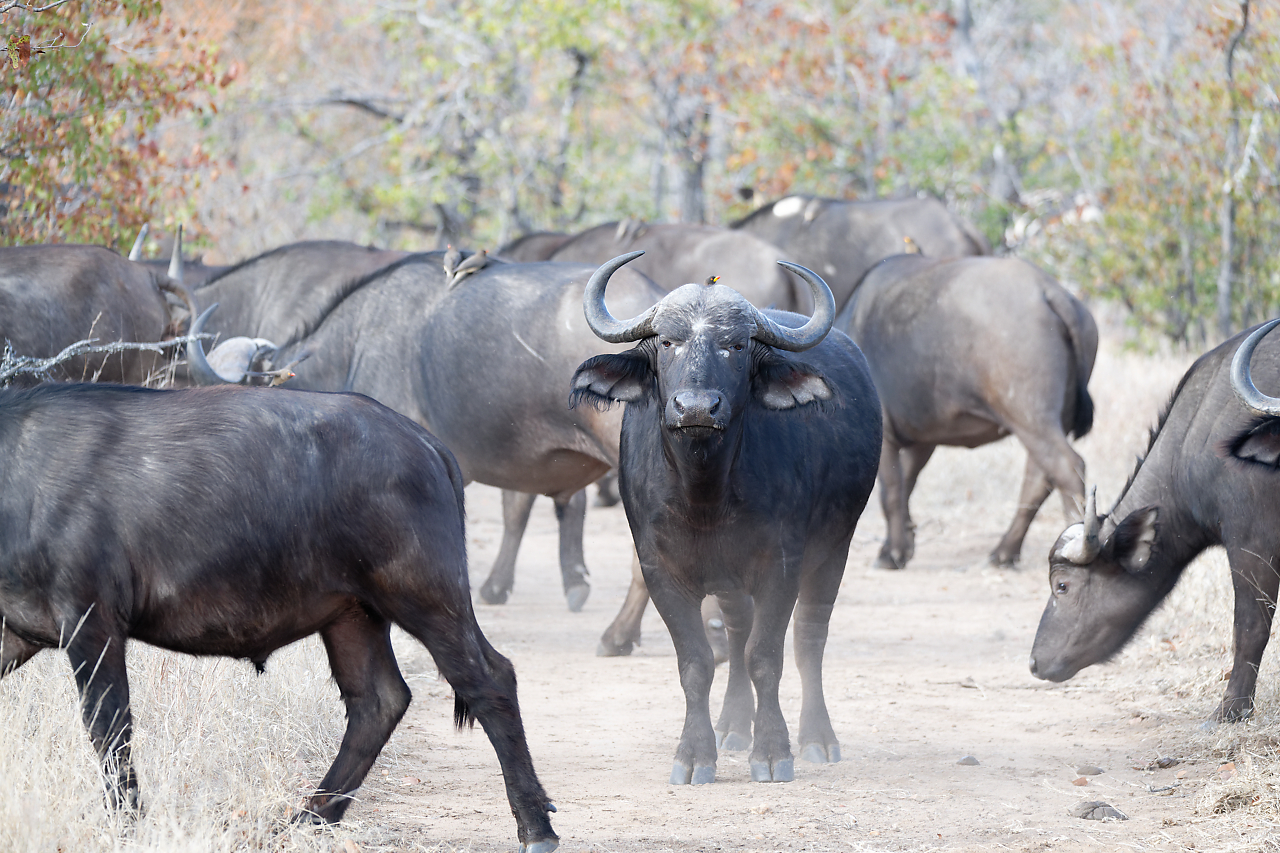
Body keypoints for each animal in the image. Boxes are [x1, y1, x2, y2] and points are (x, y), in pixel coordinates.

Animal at [570, 251, 880, 778]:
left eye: (735, 346)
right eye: (668, 342)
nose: (696, 407)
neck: (705, 495)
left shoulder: (781, 566)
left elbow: (767, 656)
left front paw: (773, 751)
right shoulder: (661, 572)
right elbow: (697, 661)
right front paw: (695, 754)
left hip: (834, 548)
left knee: (809, 637)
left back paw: (817, 738)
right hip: (730, 578)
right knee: (735, 632)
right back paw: (733, 725)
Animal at [839, 253, 1100, 571]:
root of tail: (1049, 291)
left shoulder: (887, 436)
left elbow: (891, 492)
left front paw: (893, 553)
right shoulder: (923, 441)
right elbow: (906, 487)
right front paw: (902, 545)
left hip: (1032, 419)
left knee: (1069, 469)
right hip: (1047, 422)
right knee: (1039, 480)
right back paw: (1004, 552)